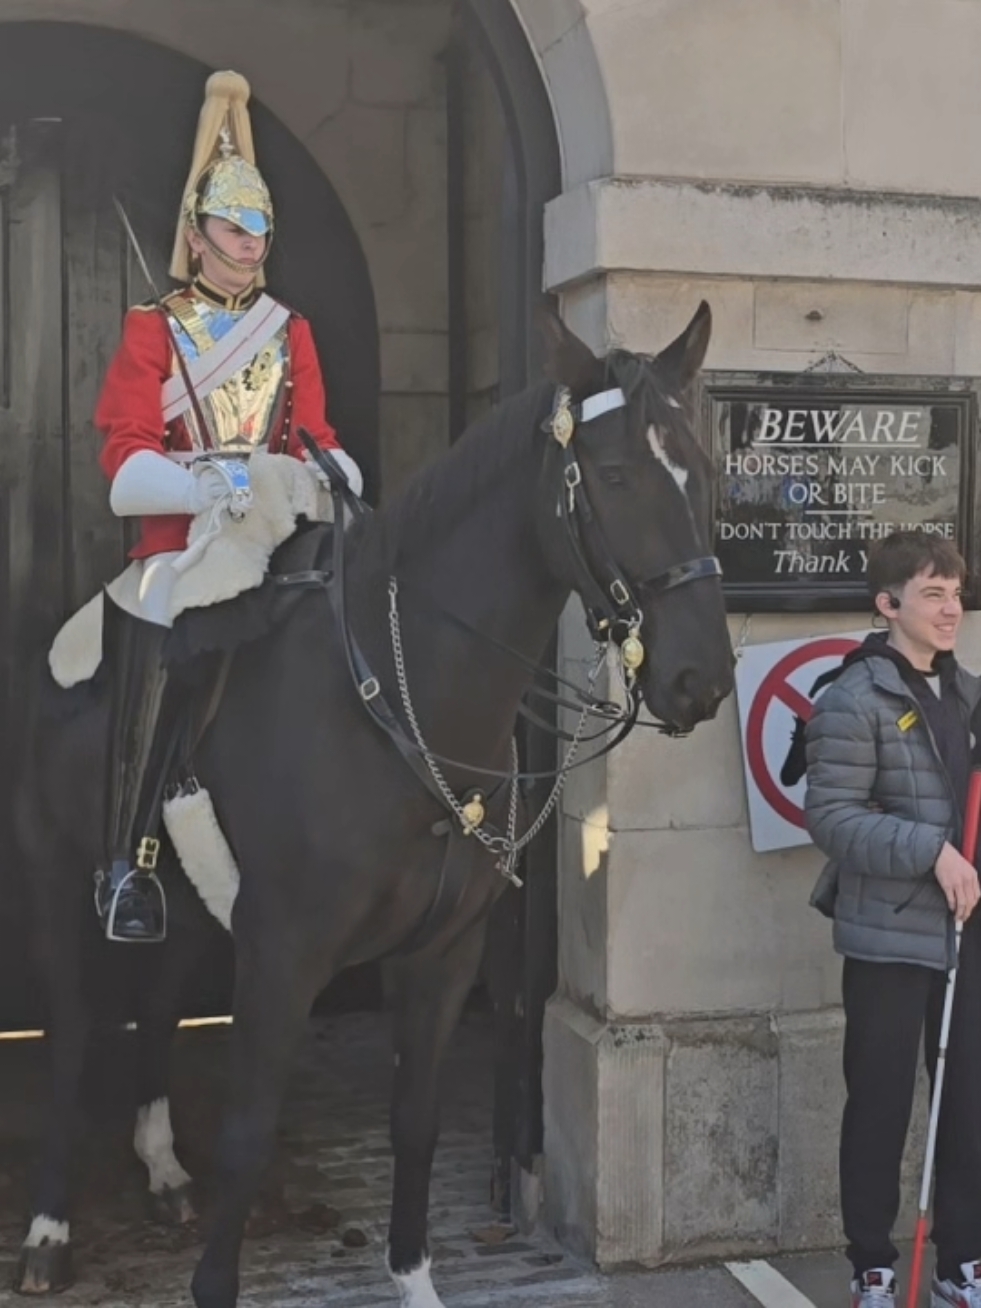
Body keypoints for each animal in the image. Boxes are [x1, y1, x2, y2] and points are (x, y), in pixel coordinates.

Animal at [11, 303, 732, 1297]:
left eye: (698, 468)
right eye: (617, 475)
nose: (702, 678)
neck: (403, 691)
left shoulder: (441, 955)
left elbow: (415, 1123)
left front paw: (414, 1279)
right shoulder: (283, 956)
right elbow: (246, 1136)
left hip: (186, 902)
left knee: (155, 1002)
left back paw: (160, 1170)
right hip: (53, 869)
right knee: (75, 1029)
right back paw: (48, 1229)